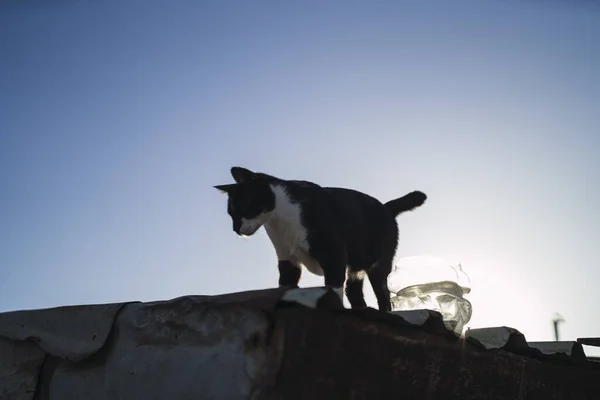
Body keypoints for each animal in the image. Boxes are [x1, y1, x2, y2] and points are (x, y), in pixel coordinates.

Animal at [216, 167, 426, 310]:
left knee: (382, 294)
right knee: (353, 290)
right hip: (357, 265)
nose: (235, 229)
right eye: (230, 214)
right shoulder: (287, 258)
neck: (280, 219)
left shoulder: (334, 253)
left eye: (243, 207)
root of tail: (386, 207)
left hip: (378, 263)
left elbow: (333, 287)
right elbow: (285, 285)